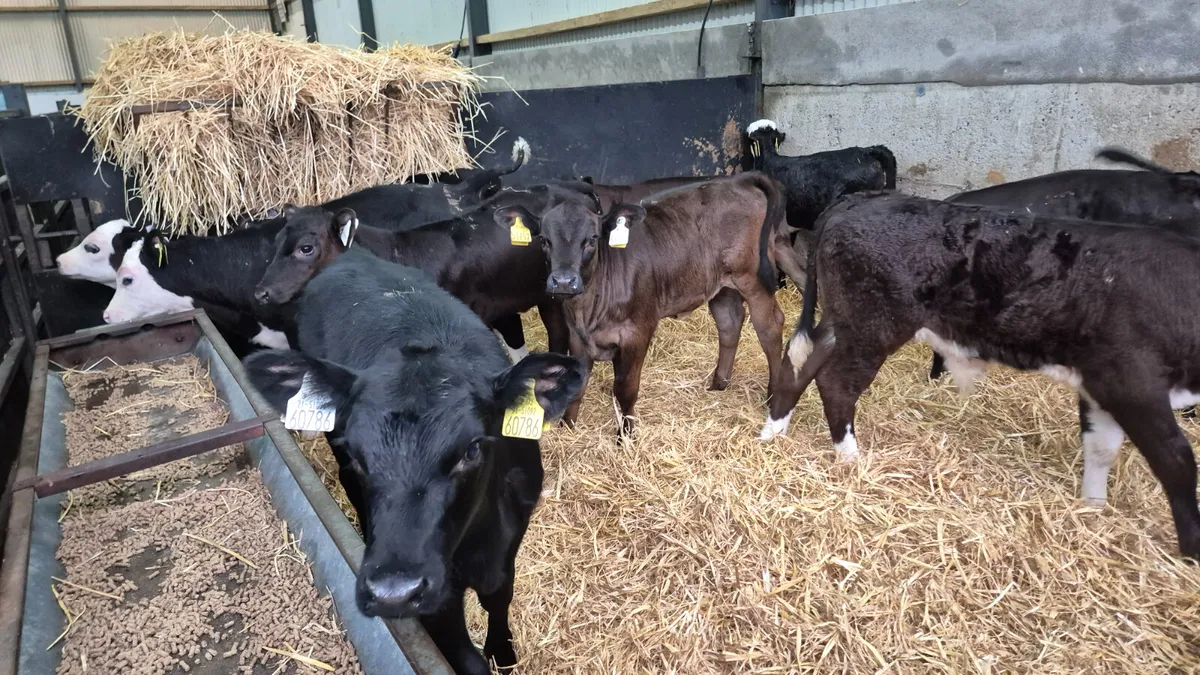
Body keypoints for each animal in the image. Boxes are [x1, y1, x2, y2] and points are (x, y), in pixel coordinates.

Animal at [243, 249, 586, 674]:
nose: (393, 592)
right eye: (356, 452)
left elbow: (498, 597)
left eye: (472, 449)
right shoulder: (439, 602)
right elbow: (463, 653)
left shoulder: (509, 540)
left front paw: (503, 653)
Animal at [491, 171, 789, 438]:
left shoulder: (637, 332)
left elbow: (625, 388)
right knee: (729, 323)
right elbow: (578, 385)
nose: (564, 281)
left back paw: (774, 396)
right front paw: (569, 427)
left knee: (771, 328)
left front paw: (625, 435)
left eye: (592, 239)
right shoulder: (577, 337)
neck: (589, 308)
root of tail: (737, 179)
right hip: (721, 286)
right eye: (544, 240)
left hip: (752, 279)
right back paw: (719, 383)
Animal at [760, 191, 1200, 559]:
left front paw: (1092, 509)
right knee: (837, 382)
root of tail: (861, 199)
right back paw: (849, 458)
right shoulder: (1129, 382)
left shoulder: (1098, 383)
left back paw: (774, 431)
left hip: (846, 319)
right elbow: (1177, 461)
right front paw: (1191, 550)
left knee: (801, 361)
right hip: (874, 324)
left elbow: (1101, 448)